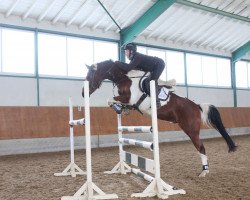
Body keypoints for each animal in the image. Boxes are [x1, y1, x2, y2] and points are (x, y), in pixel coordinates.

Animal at [83, 59, 237, 177]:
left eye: (90, 75)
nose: (84, 93)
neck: (125, 78)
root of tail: (196, 106)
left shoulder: (130, 99)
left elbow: (110, 99)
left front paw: (118, 107)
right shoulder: (127, 100)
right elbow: (113, 101)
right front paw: (121, 109)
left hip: (191, 130)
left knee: (201, 147)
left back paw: (204, 172)